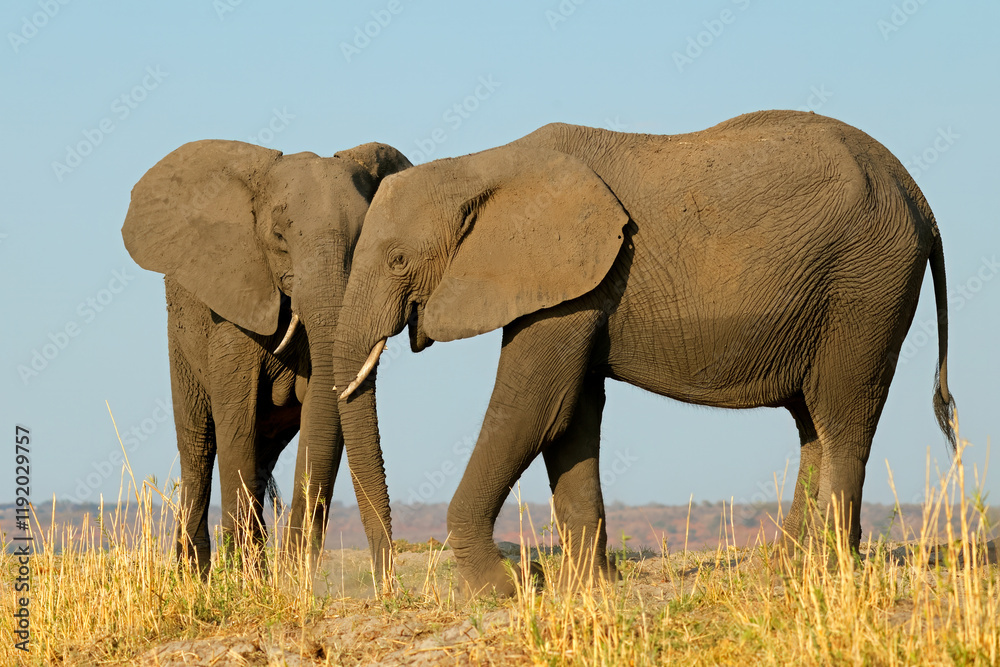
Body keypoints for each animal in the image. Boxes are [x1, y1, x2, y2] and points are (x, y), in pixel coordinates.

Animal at [121, 139, 410, 573]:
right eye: (278, 236)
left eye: (366, 239)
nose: (387, 580)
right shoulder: (233, 313)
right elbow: (235, 423)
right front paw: (243, 578)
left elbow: (320, 416)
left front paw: (291, 577)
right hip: (180, 343)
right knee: (198, 448)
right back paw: (196, 573)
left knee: (262, 458)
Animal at [332, 110, 956, 596]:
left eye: (397, 261)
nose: (387, 586)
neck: (484, 165)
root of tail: (922, 199)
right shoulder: (579, 285)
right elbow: (571, 417)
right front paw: (586, 589)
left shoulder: (572, 279)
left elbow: (531, 410)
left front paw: (501, 590)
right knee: (813, 425)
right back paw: (784, 569)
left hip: (866, 287)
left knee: (844, 415)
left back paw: (825, 572)